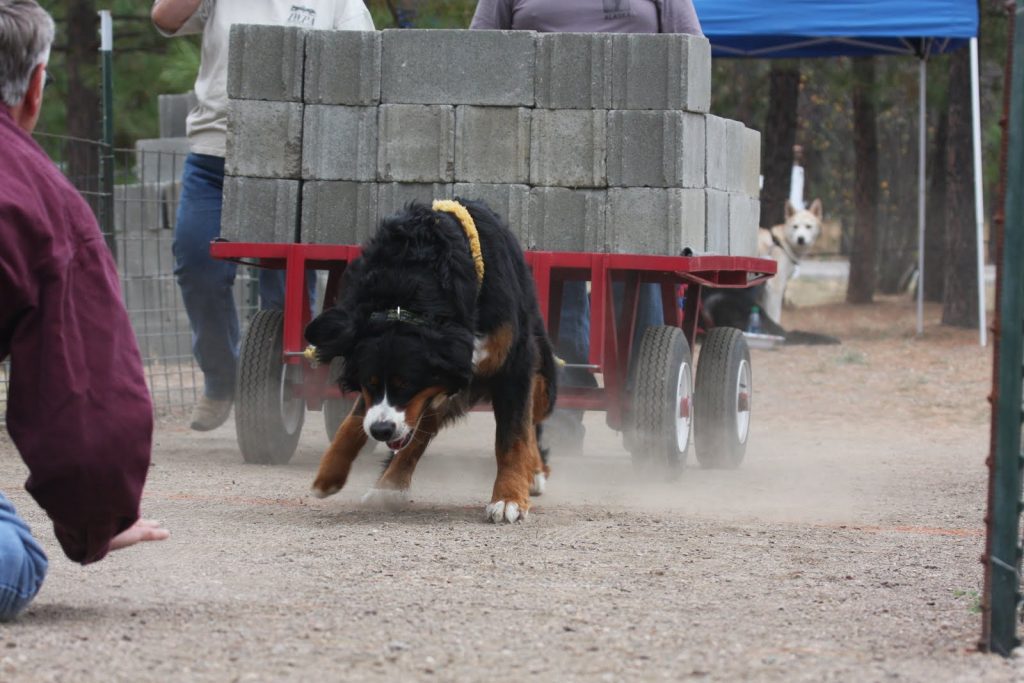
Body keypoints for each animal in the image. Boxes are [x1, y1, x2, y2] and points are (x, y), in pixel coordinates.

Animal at [305, 197, 561, 524]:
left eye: (406, 384)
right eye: (368, 383)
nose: (381, 431)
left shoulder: (512, 364)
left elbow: (513, 436)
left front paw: (508, 498)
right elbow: (356, 419)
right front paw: (330, 474)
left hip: (542, 381)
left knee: (531, 421)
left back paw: (535, 472)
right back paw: (389, 485)